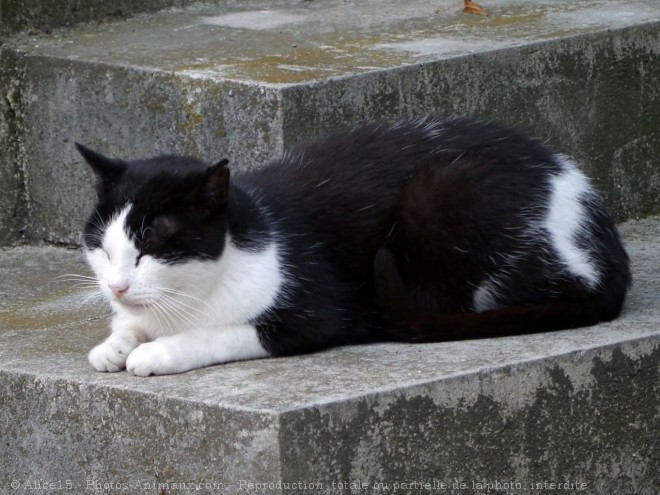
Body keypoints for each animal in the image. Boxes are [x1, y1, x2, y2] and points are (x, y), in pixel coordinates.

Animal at [77, 116, 628, 378]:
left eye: (150, 248)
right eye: (102, 248)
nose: (117, 285)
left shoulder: (315, 309)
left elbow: (223, 333)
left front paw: (158, 351)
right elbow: (128, 326)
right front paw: (116, 343)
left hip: (443, 201)